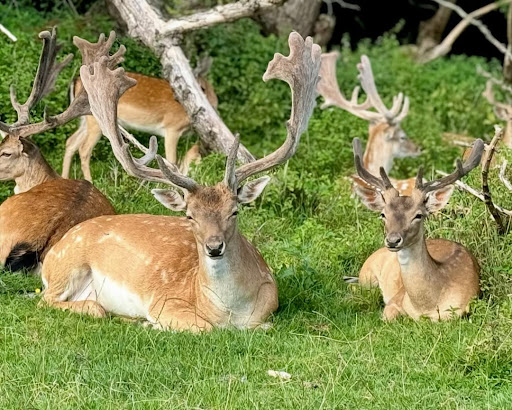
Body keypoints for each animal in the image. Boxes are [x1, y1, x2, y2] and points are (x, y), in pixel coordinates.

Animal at [61, 57, 218, 182]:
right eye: (201, 88)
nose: (215, 103)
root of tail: (75, 81)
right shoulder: (172, 128)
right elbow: (172, 160)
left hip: (86, 119)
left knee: (71, 141)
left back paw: (64, 178)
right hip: (95, 121)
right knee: (84, 148)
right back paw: (90, 181)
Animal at [351, 137, 484, 321]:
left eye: (418, 215)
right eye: (383, 214)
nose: (393, 240)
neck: (425, 307)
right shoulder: (395, 300)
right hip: (366, 276)